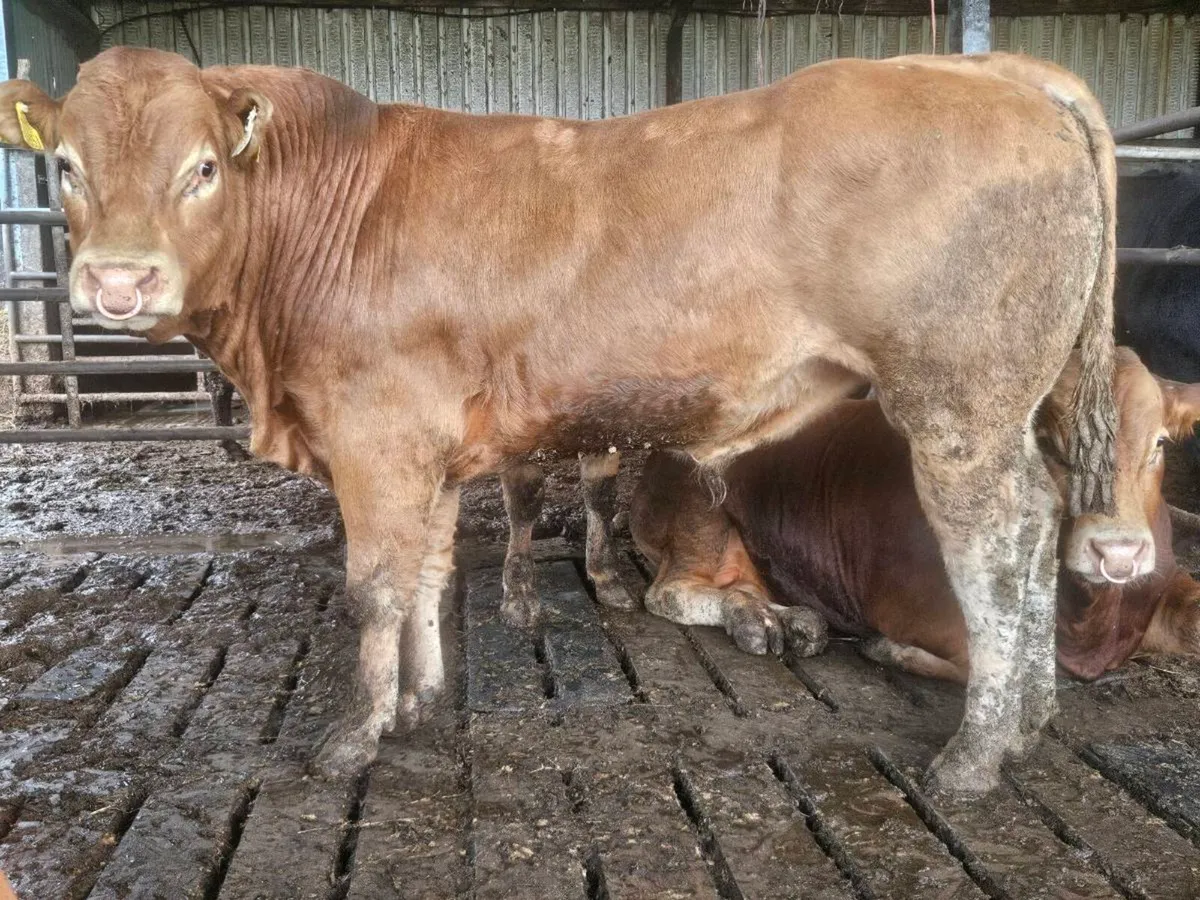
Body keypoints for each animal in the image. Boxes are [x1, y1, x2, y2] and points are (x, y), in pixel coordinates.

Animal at [0, 46, 1127, 795]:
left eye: (202, 168)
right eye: (66, 166)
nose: (119, 280)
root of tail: (991, 69)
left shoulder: (375, 439)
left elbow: (374, 590)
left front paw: (354, 736)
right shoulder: (429, 450)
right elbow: (428, 576)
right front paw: (420, 701)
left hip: (959, 406)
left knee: (997, 553)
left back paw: (976, 752)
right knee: (1040, 531)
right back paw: (1033, 720)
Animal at [630, 348, 1200, 683]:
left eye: (1159, 444)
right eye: (1051, 447)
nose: (1119, 551)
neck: (1091, 627)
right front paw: (889, 650)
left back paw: (786, 620)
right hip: (701, 515)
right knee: (671, 592)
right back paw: (760, 621)